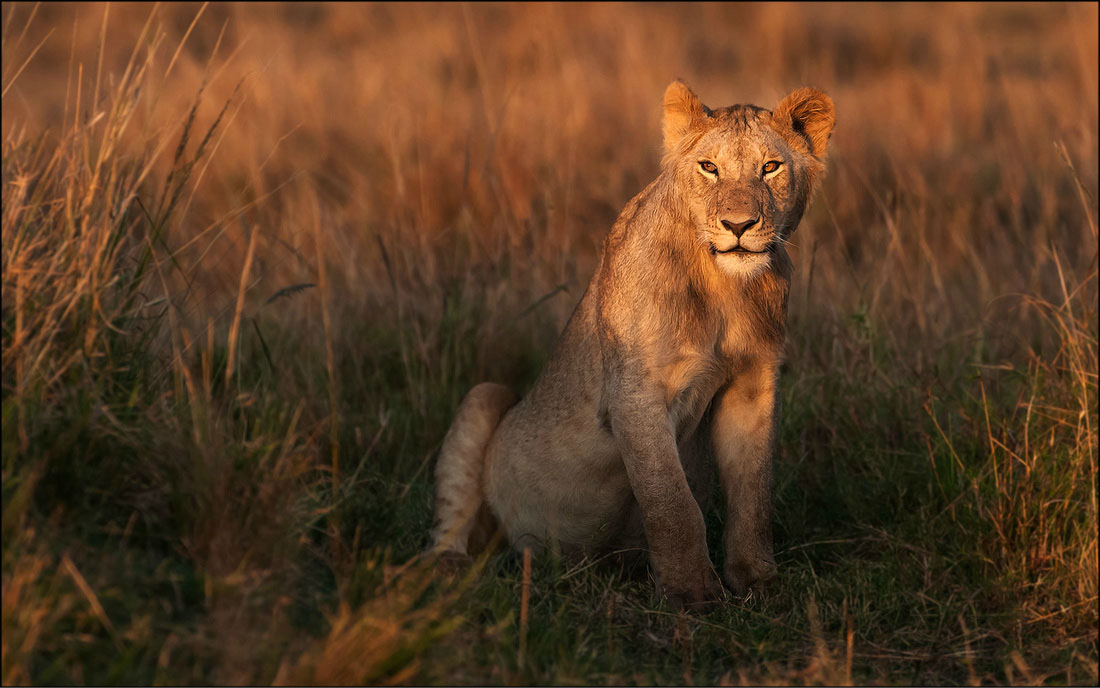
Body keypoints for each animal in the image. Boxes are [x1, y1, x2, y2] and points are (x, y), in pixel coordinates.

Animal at [429, 82, 831, 607]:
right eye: (709, 167)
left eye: (770, 167)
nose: (739, 225)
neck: (725, 288)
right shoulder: (633, 395)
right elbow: (672, 502)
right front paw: (692, 594)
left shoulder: (752, 386)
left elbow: (753, 495)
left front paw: (758, 582)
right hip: (485, 396)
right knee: (451, 527)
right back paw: (452, 571)